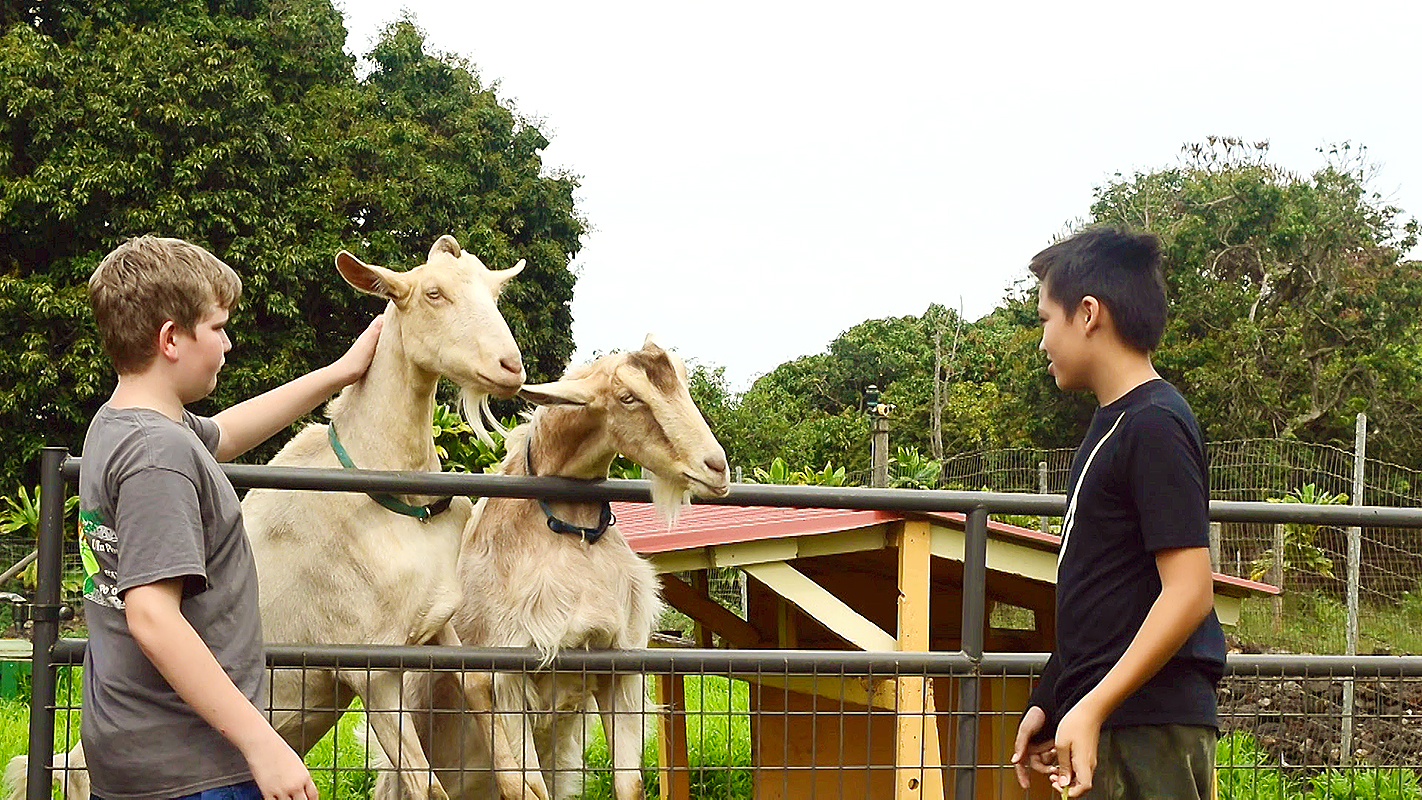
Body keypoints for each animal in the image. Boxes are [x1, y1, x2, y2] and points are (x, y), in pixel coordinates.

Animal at [375, 339, 733, 800]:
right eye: (628, 397)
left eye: (684, 379)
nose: (716, 468)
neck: (571, 531)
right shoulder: (508, 676)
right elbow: (525, 787)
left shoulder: (619, 667)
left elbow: (630, 783)